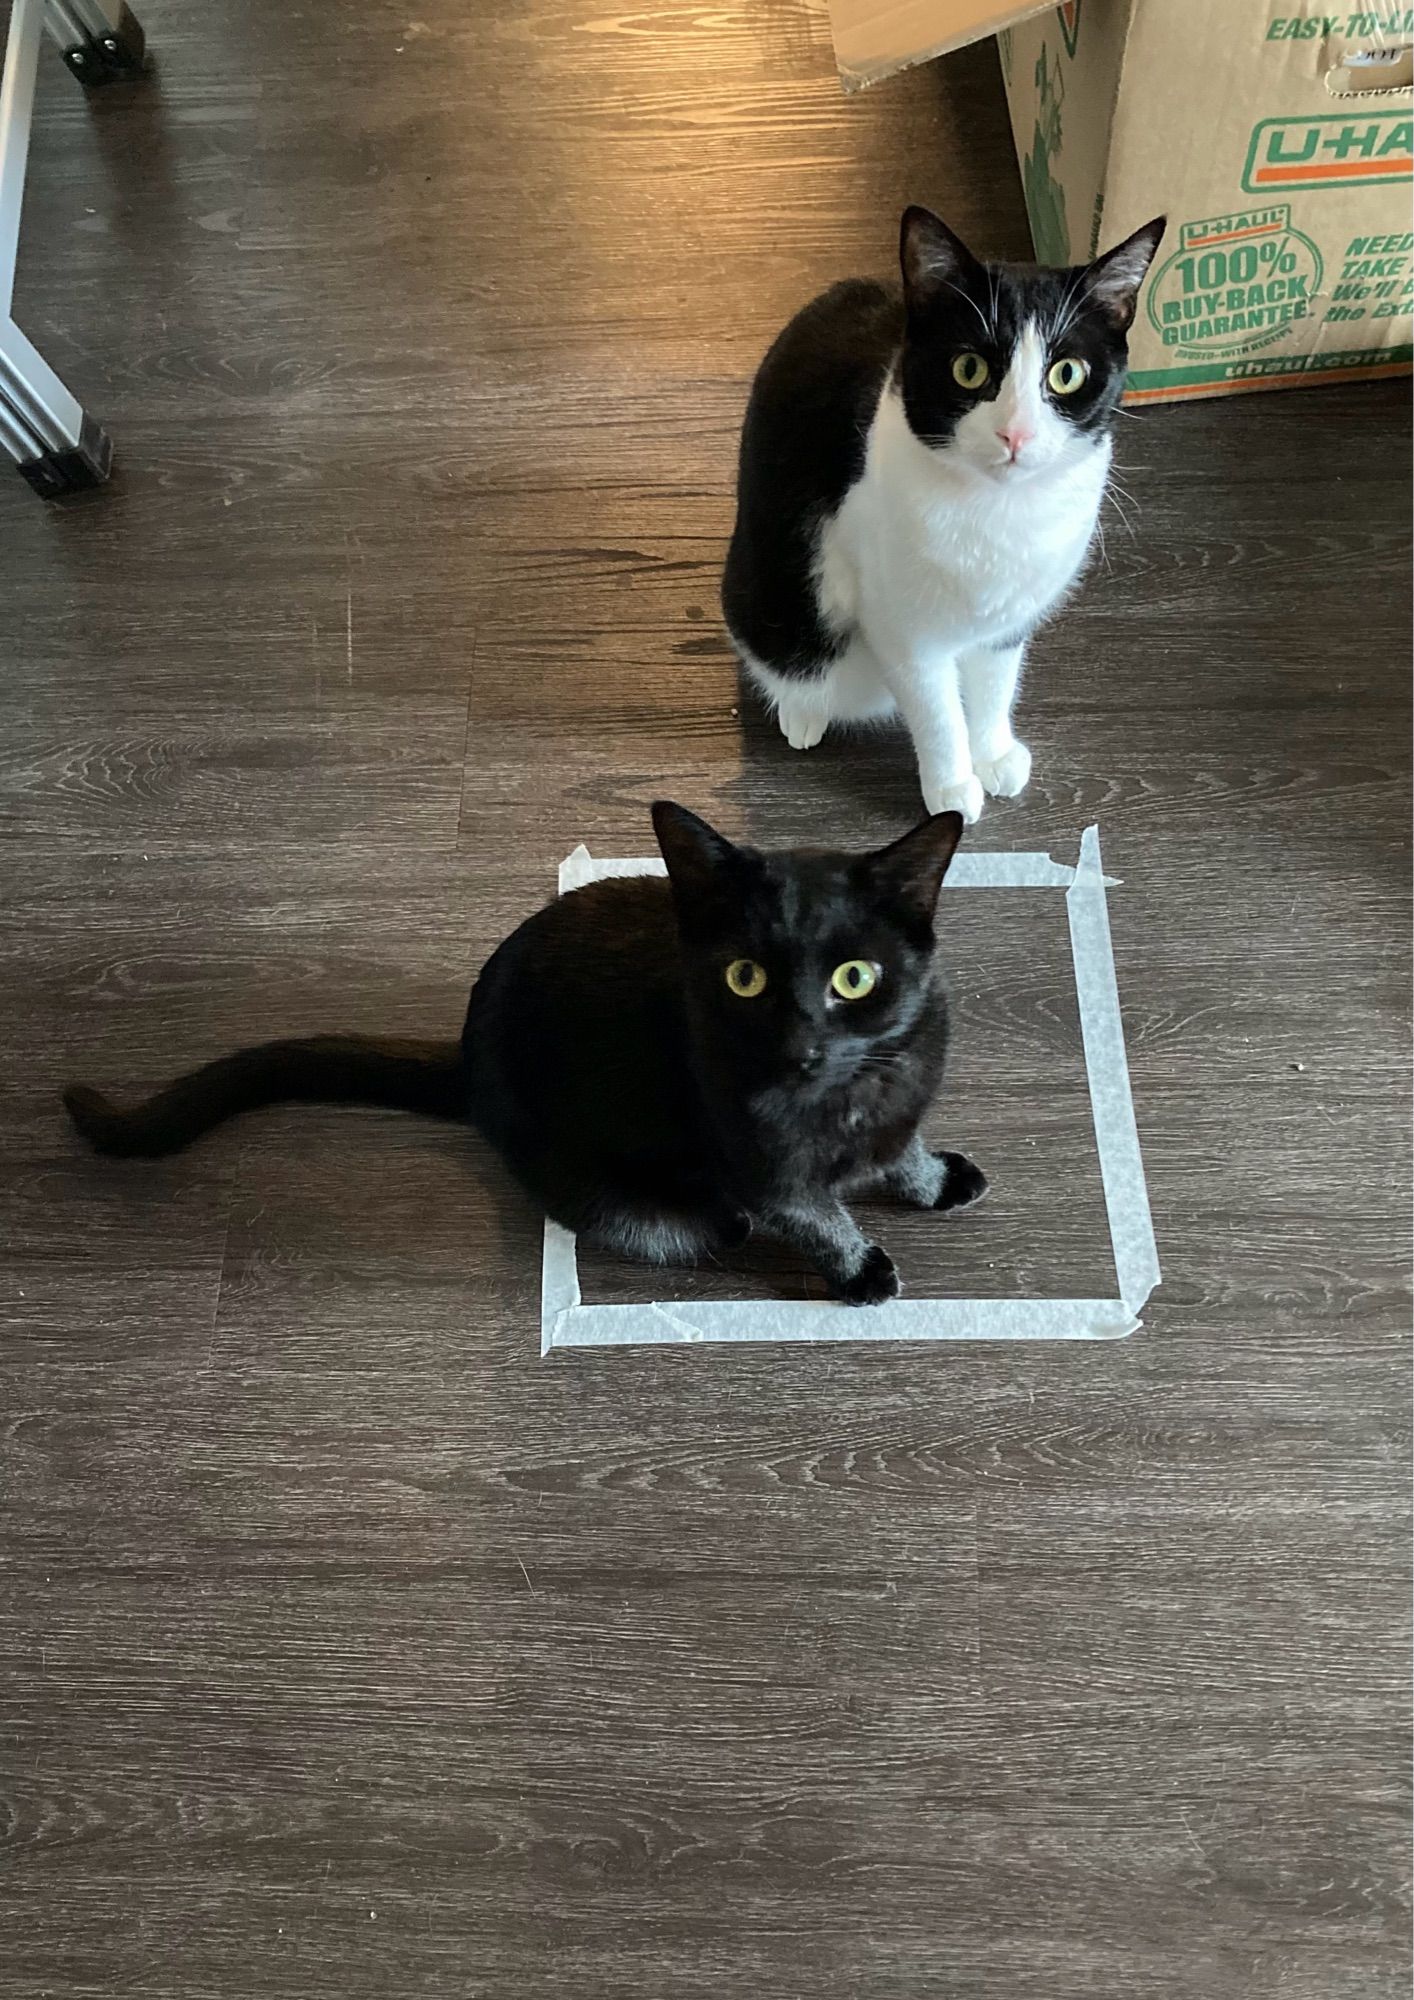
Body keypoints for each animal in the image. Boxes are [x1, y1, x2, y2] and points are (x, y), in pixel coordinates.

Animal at [58, 804, 984, 1304]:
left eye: (855, 978)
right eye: (745, 978)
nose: (801, 1046)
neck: (847, 1101)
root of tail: (468, 1056)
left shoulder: (901, 1104)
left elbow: (903, 1155)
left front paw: (934, 1179)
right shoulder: (764, 1172)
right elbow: (817, 1219)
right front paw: (860, 1268)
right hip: (610, 1185)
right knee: (694, 1224)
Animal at [724, 207, 1168, 824]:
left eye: (1067, 374)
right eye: (969, 368)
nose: (1016, 434)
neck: (999, 512)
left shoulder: (1009, 619)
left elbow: (996, 686)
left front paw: (994, 753)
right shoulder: (901, 625)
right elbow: (936, 712)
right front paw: (953, 786)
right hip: (770, 598)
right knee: (790, 660)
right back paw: (802, 713)